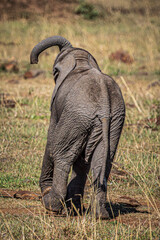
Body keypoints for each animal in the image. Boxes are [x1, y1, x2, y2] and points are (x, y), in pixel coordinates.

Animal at [29, 35, 125, 219]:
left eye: (54, 72)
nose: (33, 61)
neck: (81, 62)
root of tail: (104, 105)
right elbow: (83, 161)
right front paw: (74, 207)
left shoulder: (57, 107)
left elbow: (52, 137)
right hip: (112, 122)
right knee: (102, 161)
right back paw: (99, 215)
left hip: (77, 116)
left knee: (62, 155)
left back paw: (51, 205)